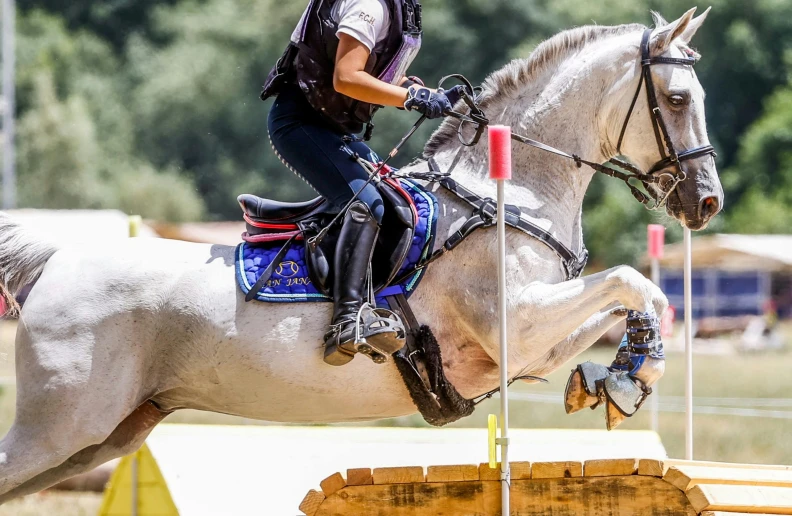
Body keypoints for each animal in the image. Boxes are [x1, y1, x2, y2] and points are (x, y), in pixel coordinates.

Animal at [0, 9, 724, 504]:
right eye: (678, 100)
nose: (707, 201)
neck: (510, 191)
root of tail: (54, 261)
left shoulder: (527, 346)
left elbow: (620, 307)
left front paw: (618, 376)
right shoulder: (512, 323)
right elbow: (632, 281)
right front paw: (630, 373)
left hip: (106, 433)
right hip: (62, 424)